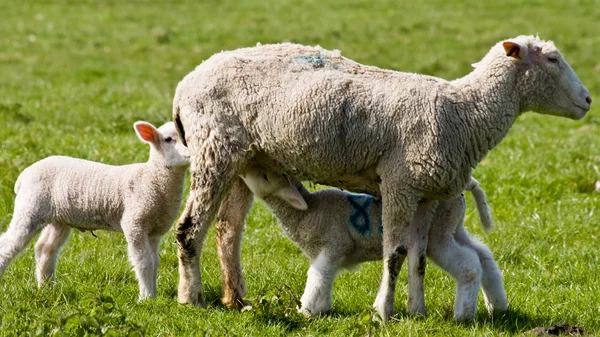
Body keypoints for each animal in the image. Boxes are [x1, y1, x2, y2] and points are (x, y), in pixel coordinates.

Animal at [0, 121, 190, 300]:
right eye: (168, 139)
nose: (191, 152)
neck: (151, 178)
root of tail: (24, 174)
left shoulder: (154, 231)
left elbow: (155, 262)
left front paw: (154, 295)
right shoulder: (135, 224)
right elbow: (144, 263)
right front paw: (146, 298)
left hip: (59, 218)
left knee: (45, 249)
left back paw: (47, 288)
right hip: (30, 208)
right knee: (8, 245)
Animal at [239, 167, 506, 318]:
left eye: (265, 176)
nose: (241, 170)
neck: (308, 212)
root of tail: (464, 187)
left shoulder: (335, 244)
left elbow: (317, 276)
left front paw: (304, 311)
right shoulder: (330, 252)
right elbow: (326, 279)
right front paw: (322, 309)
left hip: (438, 234)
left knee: (469, 265)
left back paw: (464, 314)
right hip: (452, 225)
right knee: (484, 256)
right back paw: (497, 306)